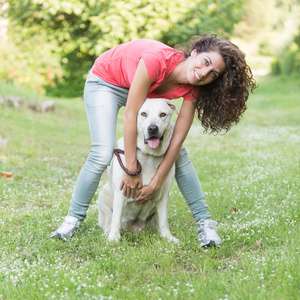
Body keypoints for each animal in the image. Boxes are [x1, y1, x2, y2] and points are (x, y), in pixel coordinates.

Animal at [98, 97, 178, 243]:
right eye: (143, 114)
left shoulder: (164, 194)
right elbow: (116, 218)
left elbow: (164, 220)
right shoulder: (121, 192)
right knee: (109, 221)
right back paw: (108, 234)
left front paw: (168, 238)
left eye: (163, 114)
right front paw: (114, 239)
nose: (152, 128)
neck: (149, 156)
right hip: (102, 196)